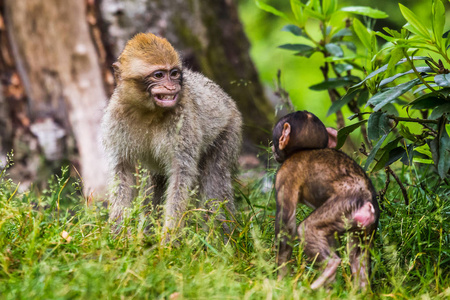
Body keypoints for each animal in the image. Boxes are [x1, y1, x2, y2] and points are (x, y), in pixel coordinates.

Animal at [101, 32, 243, 239]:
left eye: (174, 74)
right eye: (159, 75)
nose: (171, 87)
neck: (148, 111)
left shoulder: (182, 121)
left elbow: (180, 173)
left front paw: (170, 239)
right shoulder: (115, 120)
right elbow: (122, 170)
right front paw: (118, 236)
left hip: (230, 129)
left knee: (215, 178)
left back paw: (222, 237)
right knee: (154, 182)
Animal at [270, 111, 380, 290]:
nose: (273, 148)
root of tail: (369, 204)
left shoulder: (285, 173)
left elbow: (286, 223)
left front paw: (281, 279)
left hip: (342, 208)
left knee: (307, 229)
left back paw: (328, 269)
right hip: (364, 228)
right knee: (358, 255)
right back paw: (359, 290)